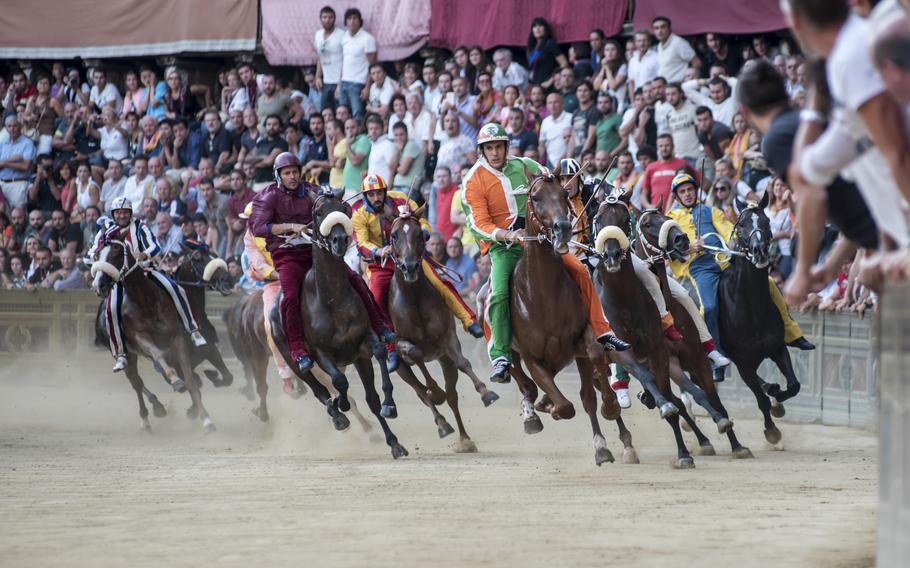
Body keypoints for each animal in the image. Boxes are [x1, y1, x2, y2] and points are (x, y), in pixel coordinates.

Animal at [268, 193, 408, 460]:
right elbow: (340, 383)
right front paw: (339, 405)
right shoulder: (321, 353)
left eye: (344, 209)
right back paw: (337, 415)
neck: (332, 300)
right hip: (291, 357)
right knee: (318, 389)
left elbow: (376, 377)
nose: (340, 239)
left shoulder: (362, 346)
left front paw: (391, 418)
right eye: (318, 212)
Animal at [384, 209, 498, 452]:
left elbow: (463, 363)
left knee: (452, 396)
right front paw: (435, 392)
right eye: (394, 236)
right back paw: (442, 422)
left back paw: (464, 438)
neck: (414, 299)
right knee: (419, 390)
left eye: (420, 234)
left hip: (444, 360)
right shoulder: (401, 343)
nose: (409, 266)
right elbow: (416, 355)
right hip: (400, 367)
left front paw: (486, 393)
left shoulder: (447, 339)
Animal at [502, 171, 636, 468]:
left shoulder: (581, 341)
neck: (543, 294)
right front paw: (550, 408)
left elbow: (593, 368)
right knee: (521, 379)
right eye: (536, 197)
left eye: (563, 194)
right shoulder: (530, 355)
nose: (562, 228)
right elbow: (565, 406)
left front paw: (608, 417)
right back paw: (533, 412)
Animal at [596, 189, 752, 464]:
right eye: (598, 219)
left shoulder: (684, 356)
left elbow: (708, 396)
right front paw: (682, 451)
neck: (626, 301)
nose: (680, 239)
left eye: (625, 220)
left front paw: (733, 441)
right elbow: (666, 398)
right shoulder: (624, 351)